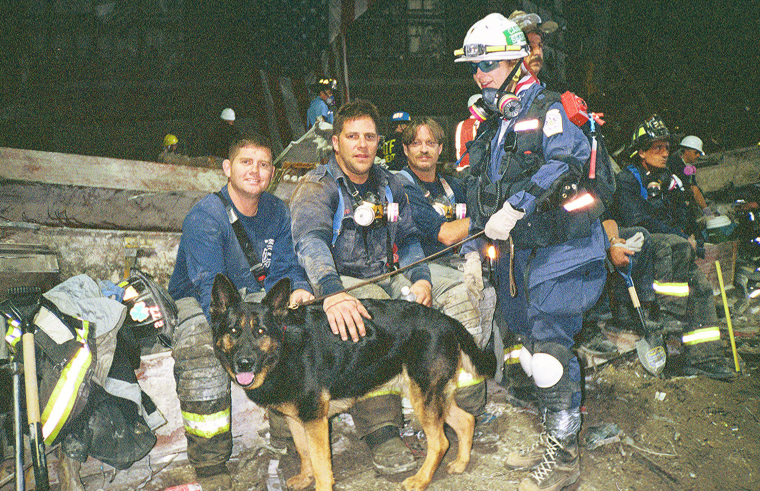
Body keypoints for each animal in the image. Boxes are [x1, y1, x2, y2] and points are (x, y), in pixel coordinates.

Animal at [208, 274, 498, 490]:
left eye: (260, 331)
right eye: (233, 331)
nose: (244, 363)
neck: (283, 348)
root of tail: (446, 319)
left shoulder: (315, 421)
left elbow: (321, 464)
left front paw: (320, 484)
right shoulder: (297, 419)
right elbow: (304, 453)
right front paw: (305, 477)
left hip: (423, 397)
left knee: (440, 442)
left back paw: (420, 480)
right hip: (429, 394)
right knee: (466, 420)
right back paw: (460, 463)